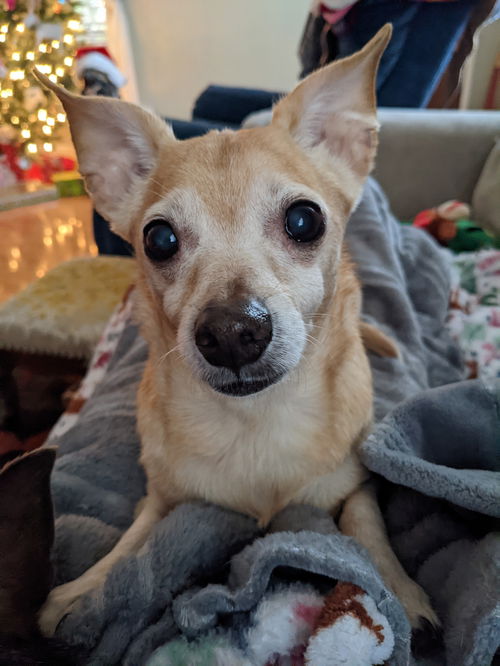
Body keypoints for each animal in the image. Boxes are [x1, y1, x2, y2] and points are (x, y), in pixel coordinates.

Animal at [37, 24, 438, 632]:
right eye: (159, 239)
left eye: (304, 220)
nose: (230, 331)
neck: (255, 423)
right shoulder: (163, 500)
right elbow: (132, 541)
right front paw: (81, 590)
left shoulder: (357, 484)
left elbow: (365, 524)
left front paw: (397, 588)